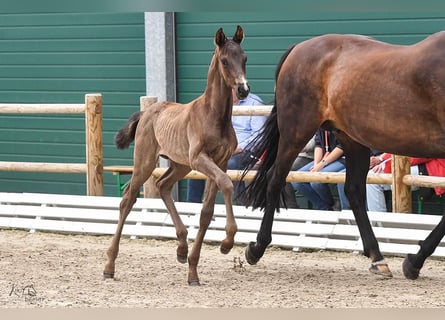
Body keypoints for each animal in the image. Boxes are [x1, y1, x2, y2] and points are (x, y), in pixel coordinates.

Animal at [104, 25, 250, 284]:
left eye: (244, 59)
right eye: (224, 61)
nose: (243, 89)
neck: (214, 116)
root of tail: (146, 112)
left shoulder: (220, 161)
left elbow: (206, 212)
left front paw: (193, 270)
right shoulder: (200, 158)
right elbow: (227, 184)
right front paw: (226, 243)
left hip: (180, 165)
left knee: (162, 185)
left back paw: (182, 248)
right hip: (146, 162)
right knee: (128, 199)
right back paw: (109, 266)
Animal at [241, 31, 444, 278]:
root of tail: (299, 47)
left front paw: (415, 261)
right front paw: (414, 261)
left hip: (352, 140)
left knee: (353, 191)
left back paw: (377, 257)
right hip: (295, 133)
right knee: (275, 180)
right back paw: (256, 248)